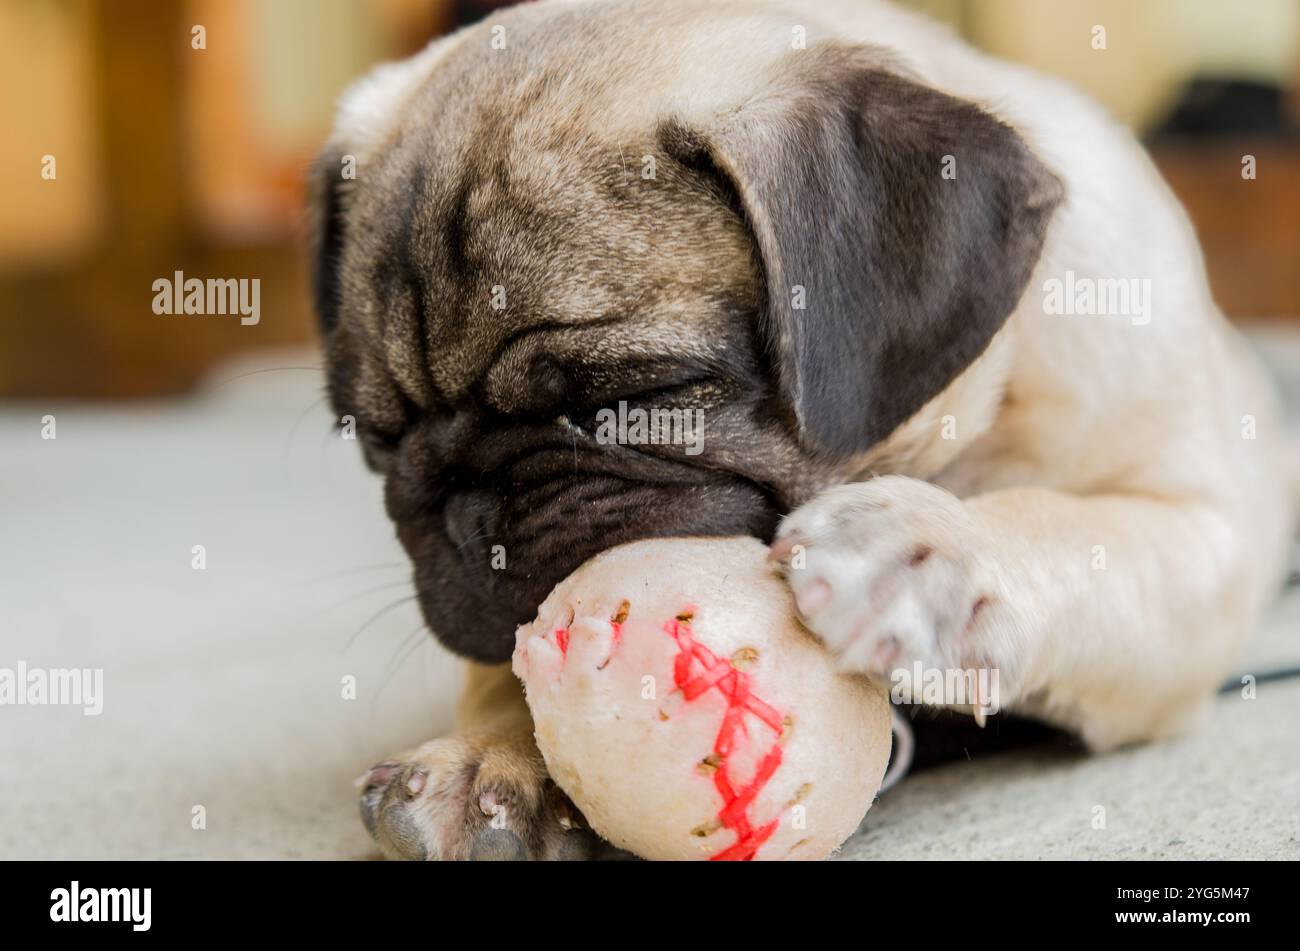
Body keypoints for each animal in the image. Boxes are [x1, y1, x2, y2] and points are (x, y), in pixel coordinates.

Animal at [312, 0, 1289, 862]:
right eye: (375, 441)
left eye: (639, 397)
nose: (465, 513)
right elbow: (508, 658)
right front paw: (492, 755)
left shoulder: (1203, 544)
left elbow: (1072, 529)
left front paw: (936, 550)